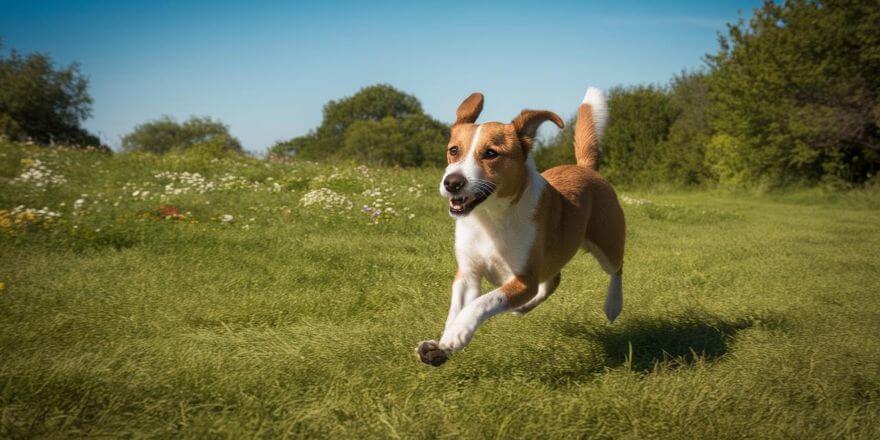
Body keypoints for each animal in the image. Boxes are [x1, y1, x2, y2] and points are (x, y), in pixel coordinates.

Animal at [414, 87, 624, 366]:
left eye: (491, 153)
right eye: (454, 150)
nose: (452, 182)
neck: (490, 219)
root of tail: (585, 168)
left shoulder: (523, 279)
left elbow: (484, 301)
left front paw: (458, 331)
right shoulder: (469, 273)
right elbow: (458, 306)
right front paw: (442, 343)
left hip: (608, 240)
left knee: (616, 268)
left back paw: (613, 305)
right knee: (553, 281)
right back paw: (522, 307)